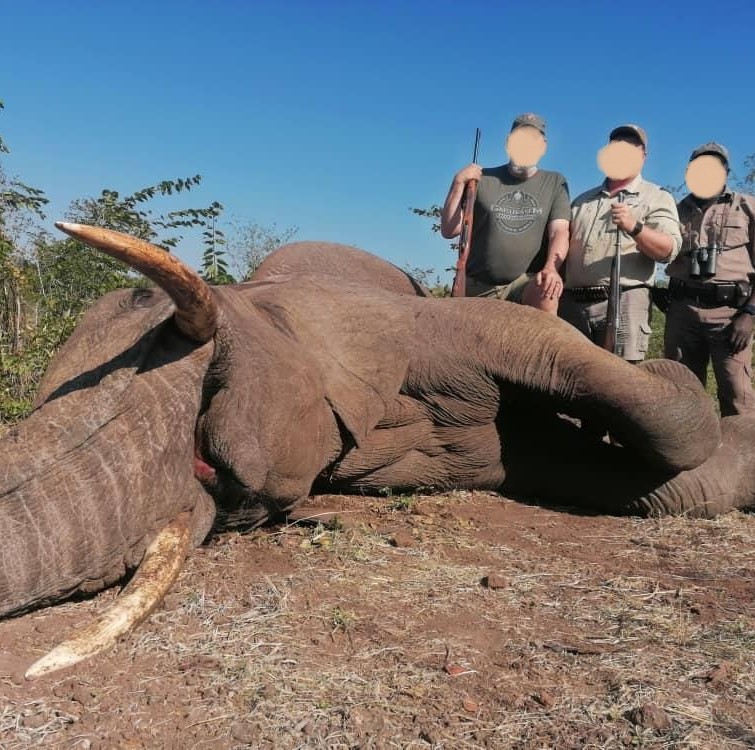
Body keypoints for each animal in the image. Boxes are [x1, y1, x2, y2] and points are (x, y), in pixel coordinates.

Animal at [2, 222, 753, 678]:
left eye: (209, 394)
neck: (266, 308)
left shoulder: (430, 326)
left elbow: (657, 412)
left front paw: (668, 378)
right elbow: (651, 483)